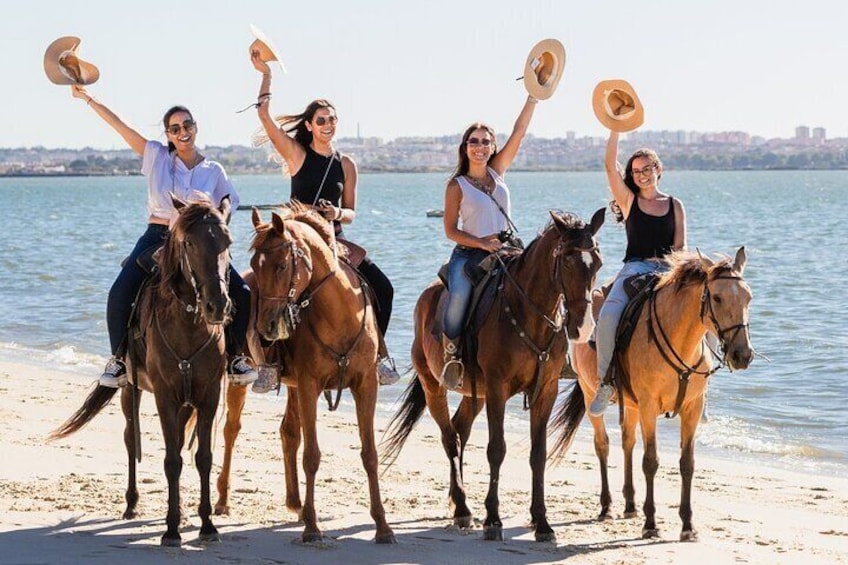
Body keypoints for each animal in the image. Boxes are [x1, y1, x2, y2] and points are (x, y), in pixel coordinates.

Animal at [51, 197, 234, 548]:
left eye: (227, 242)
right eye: (190, 243)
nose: (217, 306)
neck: (189, 323)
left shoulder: (208, 395)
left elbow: (202, 457)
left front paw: (206, 525)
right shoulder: (165, 396)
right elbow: (172, 460)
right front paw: (171, 529)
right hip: (130, 390)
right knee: (130, 439)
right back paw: (132, 503)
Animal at [215, 203, 394, 540]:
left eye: (282, 265)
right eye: (255, 265)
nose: (266, 327)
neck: (340, 315)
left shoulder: (365, 385)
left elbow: (370, 454)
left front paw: (382, 526)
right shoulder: (310, 385)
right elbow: (311, 455)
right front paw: (312, 527)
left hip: (293, 385)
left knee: (288, 433)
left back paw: (295, 503)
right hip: (242, 380)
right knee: (231, 430)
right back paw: (222, 500)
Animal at [380, 209, 608, 540]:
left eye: (598, 262)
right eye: (566, 260)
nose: (584, 326)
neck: (528, 313)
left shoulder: (545, 389)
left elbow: (538, 453)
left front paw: (541, 521)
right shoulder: (498, 388)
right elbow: (496, 449)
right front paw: (493, 520)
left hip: (475, 394)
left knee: (460, 429)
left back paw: (458, 502)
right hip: (434, 385)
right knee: (449, 437)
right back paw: (462, 507)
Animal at [548, 247, 756, 536]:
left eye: (748, 297)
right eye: (717, 297)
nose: (742, 355)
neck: (681, 341)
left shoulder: (692, 409)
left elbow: (687, 464)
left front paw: (687, 524)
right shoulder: (648, 406)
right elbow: (651, 461)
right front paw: (650, 523)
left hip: (631, 404)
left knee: (627, 442)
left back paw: (630, 504)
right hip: (591, 393)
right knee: (603, 445)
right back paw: (607, 506)